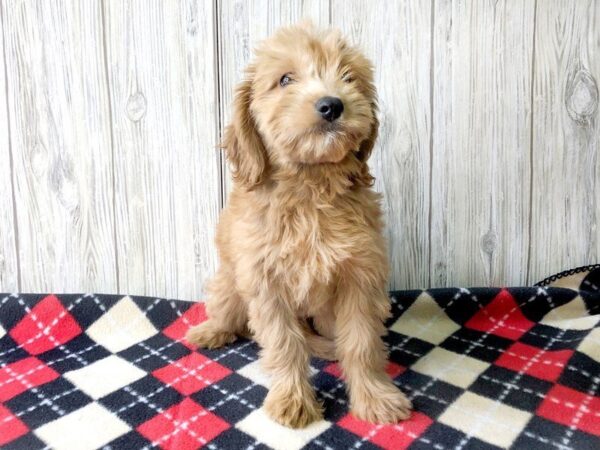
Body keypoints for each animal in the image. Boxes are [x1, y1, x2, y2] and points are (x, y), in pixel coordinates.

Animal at [188, 22, 412, 428]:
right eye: (285, 79)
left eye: (348, 77)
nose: (332, 105)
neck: (310, 190)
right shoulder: (265, 283)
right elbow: (284, 344)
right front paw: (292, 400)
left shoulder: (360, 277)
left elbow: (361, 342)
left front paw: (375, 397)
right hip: (230, 282)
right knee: (229, 312)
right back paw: (211, 330)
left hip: (322, 314)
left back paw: (326, 345)